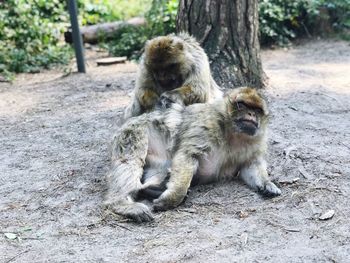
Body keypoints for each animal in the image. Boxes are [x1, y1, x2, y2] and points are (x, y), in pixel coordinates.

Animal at [104, 87, 282, 223]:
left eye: (257, 110)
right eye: (242, 104)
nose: (251, 114)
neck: (233, 134)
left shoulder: (255, 143)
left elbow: (249, 166)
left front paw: (267, 184)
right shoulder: (205, 125)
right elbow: (187, 156)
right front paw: (172, 198)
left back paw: (150, 189)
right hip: (134, 131)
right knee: (129, 161)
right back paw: (122, 204)